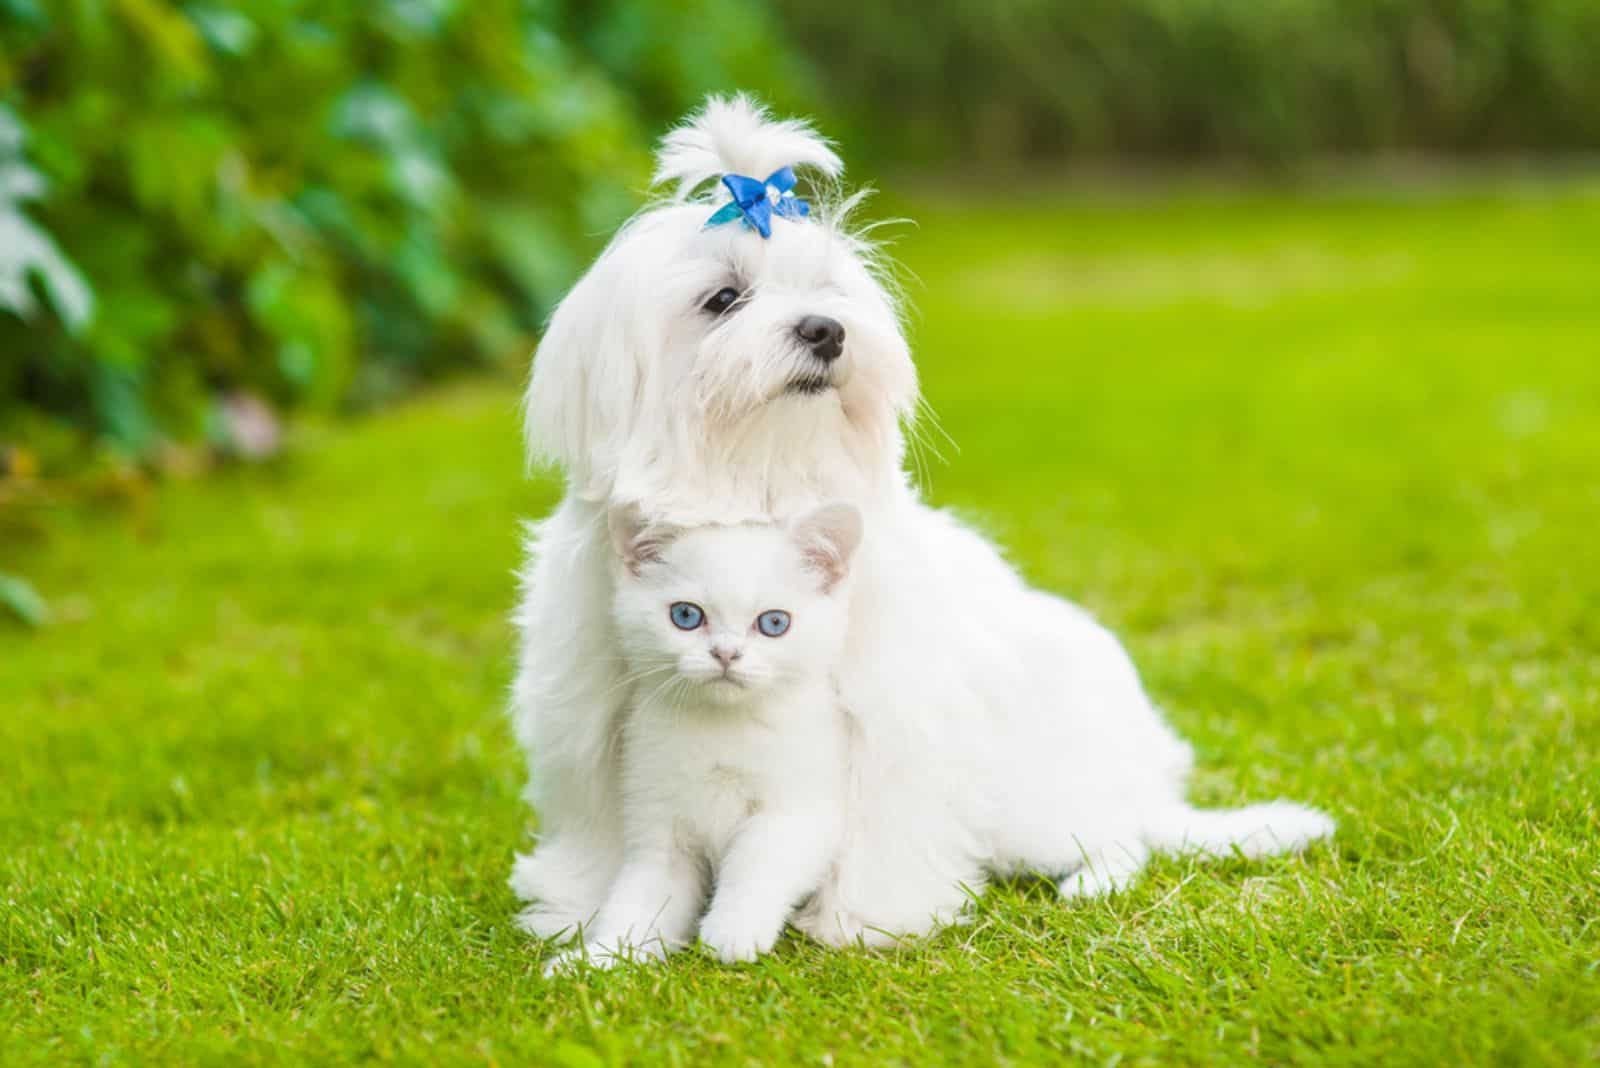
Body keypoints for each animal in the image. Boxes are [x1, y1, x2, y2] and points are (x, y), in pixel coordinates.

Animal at [550, 502, 864, 965]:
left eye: (774, 622)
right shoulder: (659, 829)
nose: (726, 653)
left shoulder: (803, 810)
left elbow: (758, 859)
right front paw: (600, 957)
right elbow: (638, 901)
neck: (722, 728)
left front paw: (733, 930)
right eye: (686, 615)